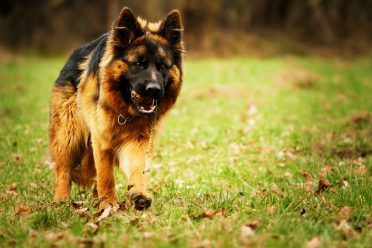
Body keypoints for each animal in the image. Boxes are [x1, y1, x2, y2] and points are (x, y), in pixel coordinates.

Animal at [49, 6, 183, 210]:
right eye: (138, 64)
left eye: (163, 66)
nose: (154, 90)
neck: (124, 110)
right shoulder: (100, 138)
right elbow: (105, 175)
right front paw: (108, 204)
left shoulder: (141, 138)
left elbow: (138, 168)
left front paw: (139, 194)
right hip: (69, 133)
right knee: (63, 169)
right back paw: (61, 199)